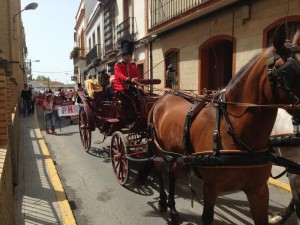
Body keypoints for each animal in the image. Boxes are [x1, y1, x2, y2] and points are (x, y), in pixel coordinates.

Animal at [135, 25, 300, 223]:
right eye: (288, 72)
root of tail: (162, 98)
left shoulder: (258, 190)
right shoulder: (211, 187)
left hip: (180, 153)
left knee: (173, 172)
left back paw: (173, 209)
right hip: (159, 149)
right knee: (160, 170)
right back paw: (162, 202)